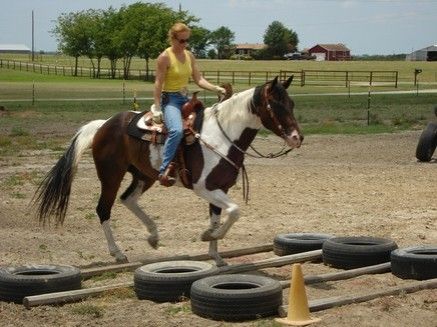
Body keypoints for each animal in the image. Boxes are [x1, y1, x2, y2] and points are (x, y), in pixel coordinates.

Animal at [34, 76, 302, 266]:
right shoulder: (204, 188)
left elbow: (219, 217)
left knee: (128, 199)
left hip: (143, 176)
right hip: (111, 175)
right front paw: (208, 236)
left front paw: (216, 255)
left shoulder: (220, 189)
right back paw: (118, 253)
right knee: (104, 209)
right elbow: (235, 211)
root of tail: (104, 125)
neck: (222, 135)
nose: (297, 138)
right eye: (275, 105)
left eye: (291, 103)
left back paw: (153, 237)